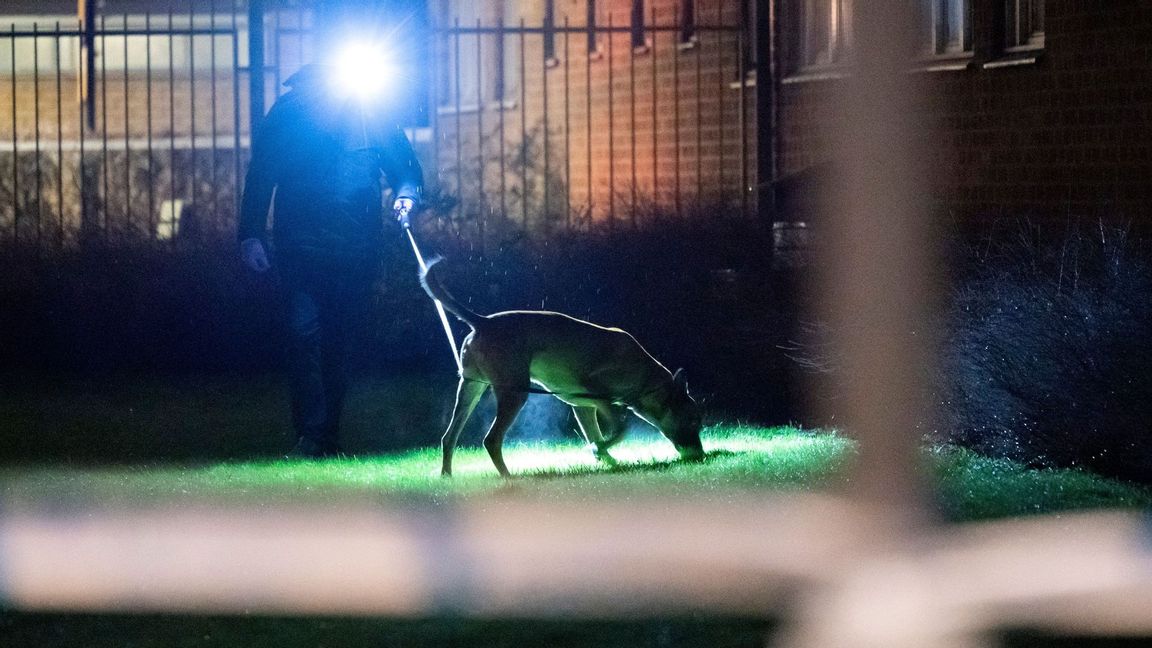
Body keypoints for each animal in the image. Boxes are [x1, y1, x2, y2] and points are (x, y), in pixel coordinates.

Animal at [417, 255, 700, 475]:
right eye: (693, 421)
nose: (700, 456)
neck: (646, 378)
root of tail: (483, 321)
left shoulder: (583, 407)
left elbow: (598, 435)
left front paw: (607, 460)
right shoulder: (599, 396)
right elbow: (620, 429)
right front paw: (601, 450)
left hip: (471, 390)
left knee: (448, 438)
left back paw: (447, 477)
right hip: (514, 393)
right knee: (491, 440)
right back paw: (509, 479)